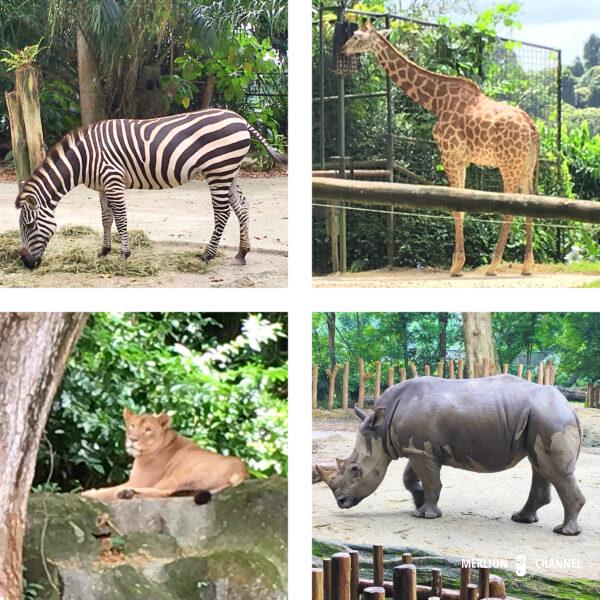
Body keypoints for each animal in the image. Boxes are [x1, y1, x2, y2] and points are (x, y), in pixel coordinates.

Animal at [14, 108, 286, 270]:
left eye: (29, 225)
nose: (26, 263)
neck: (84, 159)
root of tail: (241, 119)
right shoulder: (102, 186)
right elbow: (106, 218)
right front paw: (104, 250)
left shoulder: (113, 179)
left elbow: (121, 218)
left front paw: (124, 253)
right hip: (230, 171)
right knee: (241, 207)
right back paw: (242, 253)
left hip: (218, 170)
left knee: (222, 213)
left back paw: (207, 255)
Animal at [340, 22, 540, 276]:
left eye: (356, 36)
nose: (343, 49)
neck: (435, 101)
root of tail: (533, 129)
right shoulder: (462, 160)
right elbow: (462, 206)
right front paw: (459, 263)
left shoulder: (449, 155)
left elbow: (456, 207)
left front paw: (456, 265)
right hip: (526, 166)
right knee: (531, 203)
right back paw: (527, 265)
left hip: (508, 164)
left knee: (510, 207)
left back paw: (493, 265)